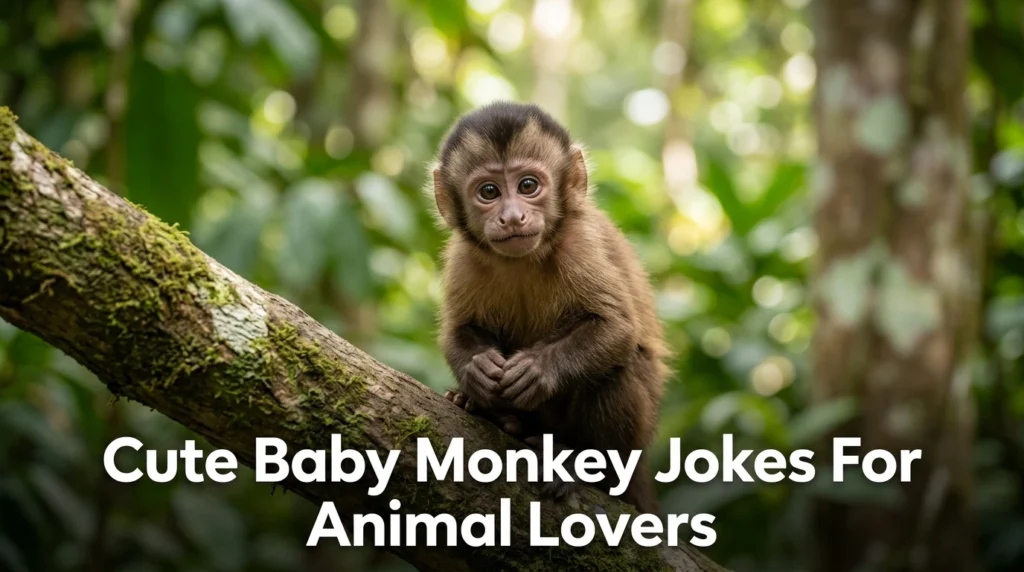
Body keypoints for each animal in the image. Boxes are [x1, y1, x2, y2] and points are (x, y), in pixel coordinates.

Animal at [429, 101, 670, 514]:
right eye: (488, 191)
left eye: (528, 186)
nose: (512, 217)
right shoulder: (463, 257)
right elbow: (456, 331)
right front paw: (477, 371)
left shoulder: (579, 243)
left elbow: (616, 329)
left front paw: (538, 371)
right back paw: (497, 416)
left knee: (618, 368)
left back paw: (583, 464)